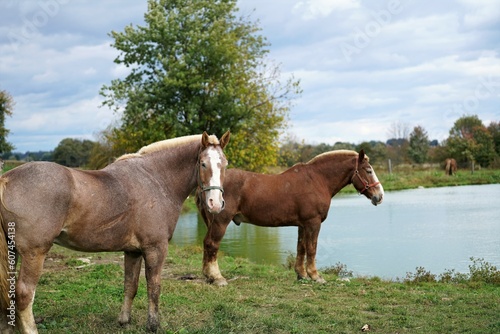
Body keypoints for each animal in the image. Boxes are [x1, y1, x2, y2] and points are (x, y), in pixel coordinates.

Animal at [0, 130, 230, 332]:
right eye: (203, 163)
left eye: (225, 164)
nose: (215, 203)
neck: (156, 179)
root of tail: (7, 179)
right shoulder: (155, 248)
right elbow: (154, 287)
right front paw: (153, 325)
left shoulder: (133, 251)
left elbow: (131, 285)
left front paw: (124, 320)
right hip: (34, 253)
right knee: (24, 294)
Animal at [197, 150, 384, 286]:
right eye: (368, 170)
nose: (379, 196)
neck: (317, 179)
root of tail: (207, 187)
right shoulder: (313, 223)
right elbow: (312, 248)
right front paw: (316, 276)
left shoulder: (303, 225)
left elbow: (301, 248)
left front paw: (302, 275)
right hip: (221, 221)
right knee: (212, 244)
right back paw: (217, 278)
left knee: (207, 244)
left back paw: (208, 276)